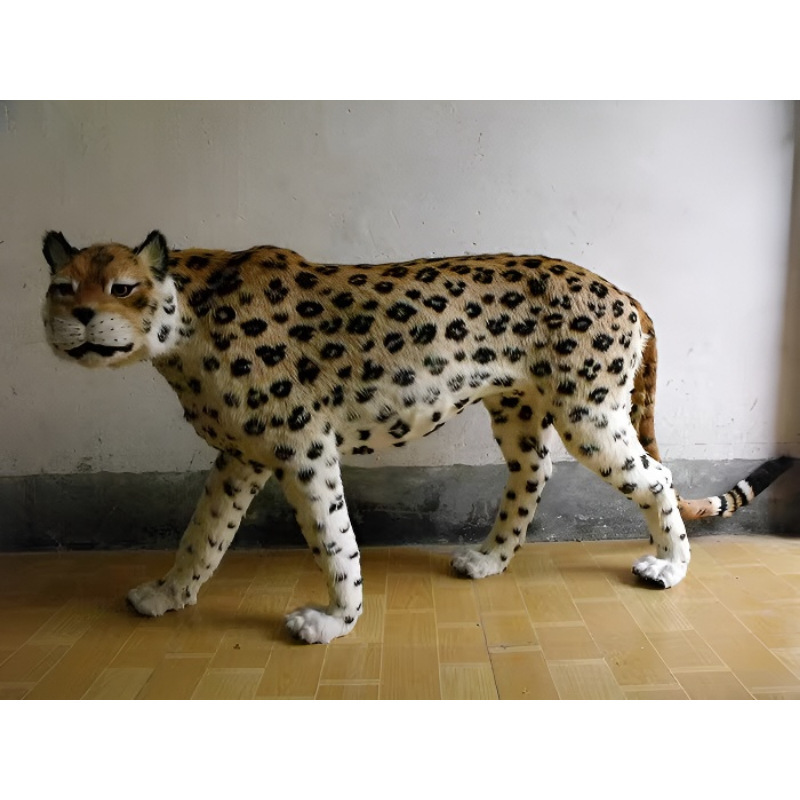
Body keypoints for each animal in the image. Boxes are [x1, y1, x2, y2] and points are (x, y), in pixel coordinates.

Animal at [41, 230, 792, 643]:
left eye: (123, 286)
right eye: (61, 286)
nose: (77, 318)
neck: (183, 322)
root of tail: (620, 289)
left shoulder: (303, 448)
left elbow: (334, 538)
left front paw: (333, 622)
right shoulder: (240, 455)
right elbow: (203, 534)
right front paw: (169, 596)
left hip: (590, 413)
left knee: (657, 477)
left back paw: (670, 565)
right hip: (519, 411)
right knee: (534, 474)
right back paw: (489, 560)